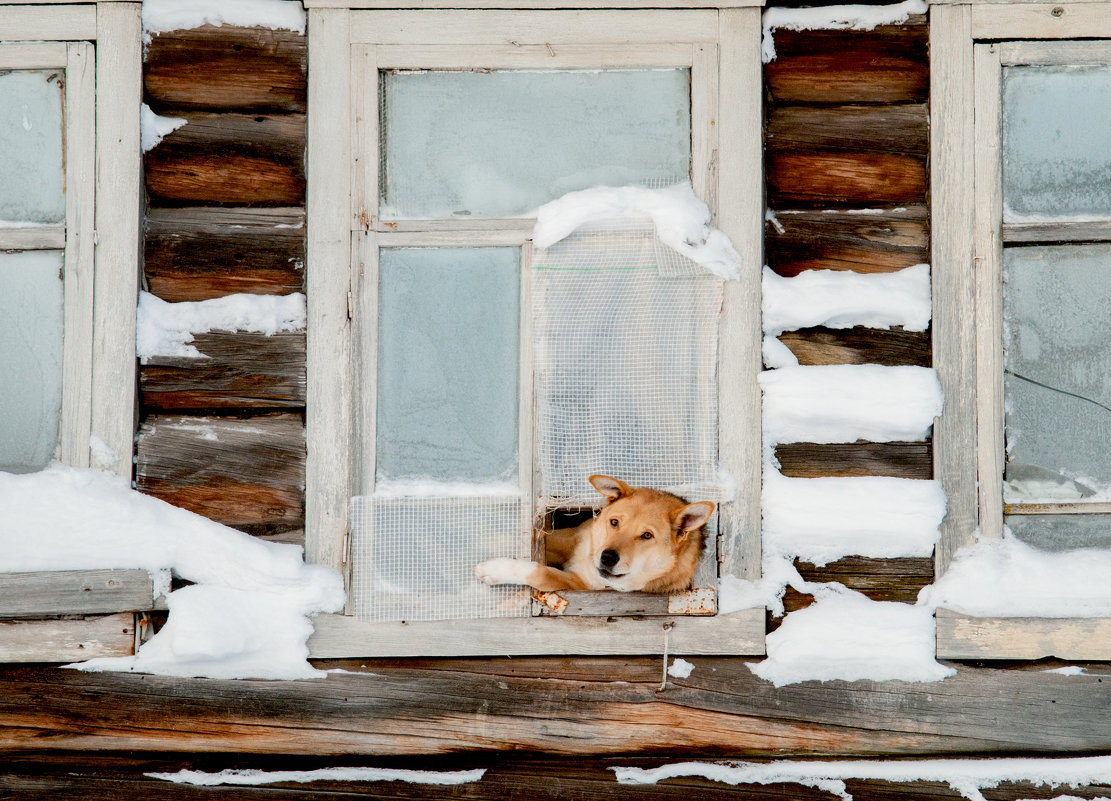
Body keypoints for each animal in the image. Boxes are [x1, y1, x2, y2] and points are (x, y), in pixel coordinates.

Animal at [473, 475, 715, 595]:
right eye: (614, 522)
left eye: (647, 536)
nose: (607, 557)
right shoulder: (572, 536)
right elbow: (542, 537)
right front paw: (490, 537)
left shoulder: (577, 583)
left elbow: (539, 572)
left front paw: (495, 569)